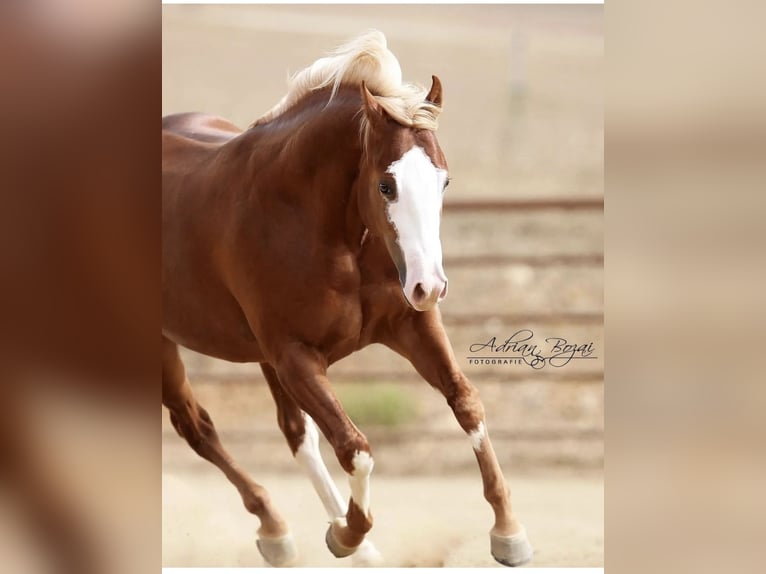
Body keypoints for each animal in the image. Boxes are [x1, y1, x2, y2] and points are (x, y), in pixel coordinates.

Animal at [162, 30, 533, 567]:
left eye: (444, 180)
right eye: (386, 184)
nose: (431, 286)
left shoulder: (409, 325)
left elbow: (466, 402)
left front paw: (508, 532)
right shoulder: (296, 358)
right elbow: (355, 448)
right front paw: (347, 534)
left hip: (263, 359)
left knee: (294, 433)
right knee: (198, 428)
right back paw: (277, 529)